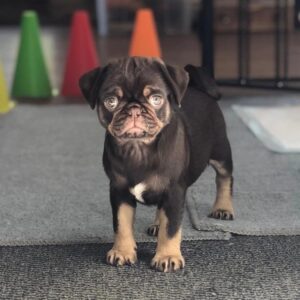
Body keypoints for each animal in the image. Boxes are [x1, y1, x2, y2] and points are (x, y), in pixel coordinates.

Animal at [78, 57, 233, 274]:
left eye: (156, 99)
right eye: (111, 101)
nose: (134, 109)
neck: (138, 149)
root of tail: (197, 87)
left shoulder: (174, 191)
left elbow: (171, 229)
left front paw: (167, 256)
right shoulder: (119, 191)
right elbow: (121, 224)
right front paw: (122, 251)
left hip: (220, 151)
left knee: (224, 178)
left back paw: (223, 208)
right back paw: (157, 224)